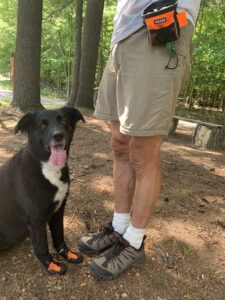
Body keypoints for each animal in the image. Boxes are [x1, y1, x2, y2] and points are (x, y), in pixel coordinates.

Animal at [0, 107, 84, 274]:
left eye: (63, 120)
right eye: (42, 125)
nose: (58, 135)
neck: (47, 167)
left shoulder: (59, 209)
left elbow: (59, 234)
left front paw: (66, 253)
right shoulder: (36, 219)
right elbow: (42, 245)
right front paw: (50, 264)